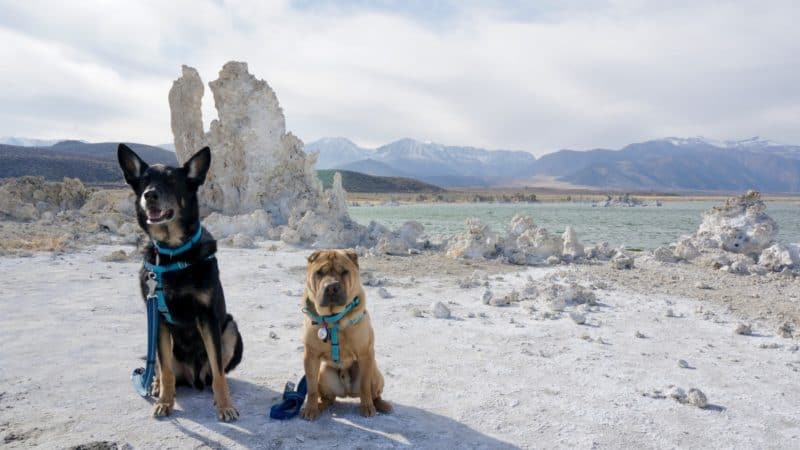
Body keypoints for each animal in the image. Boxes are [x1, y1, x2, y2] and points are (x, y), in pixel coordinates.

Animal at [115, 144, 241, 422]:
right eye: (144, 181)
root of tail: (194, 377)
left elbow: (218, 371)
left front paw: (225, 405)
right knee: (163, 369)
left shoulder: (207, 316)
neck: (173, 254)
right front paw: (164, 402)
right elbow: (164, 369)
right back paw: (155, 386)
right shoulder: (158, 319)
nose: (149, 195)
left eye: (172, 181)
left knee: (214, 372)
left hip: (230, 329)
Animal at [298, 248, 392, 420]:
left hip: (375, 373)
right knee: (328, 398)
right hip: (324, 374)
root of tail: (347, 391)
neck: (333, 319)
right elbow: (311, 388)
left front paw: (367, 407)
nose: (331, 287)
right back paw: (320, 406)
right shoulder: (311, 356)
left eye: (344, 272)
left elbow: (365, 387)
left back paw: (381, 405)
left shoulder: (365, 354)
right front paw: (310, 409)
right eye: (320, 272)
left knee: (374, 394)